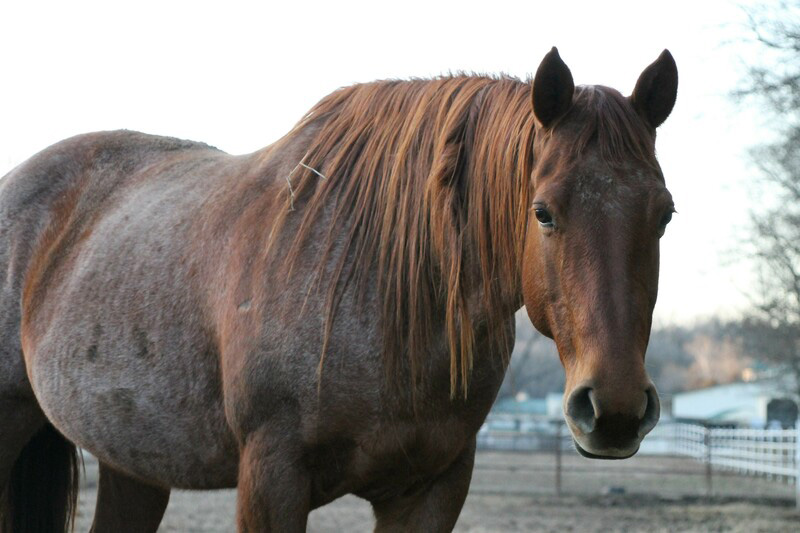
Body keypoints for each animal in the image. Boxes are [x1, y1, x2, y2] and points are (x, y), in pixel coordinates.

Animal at [0, 47, 680, 528]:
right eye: (543, 212)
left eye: (665, 214)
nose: (615, 409)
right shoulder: (271, 480)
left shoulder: (432, 489)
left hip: (134, 462)